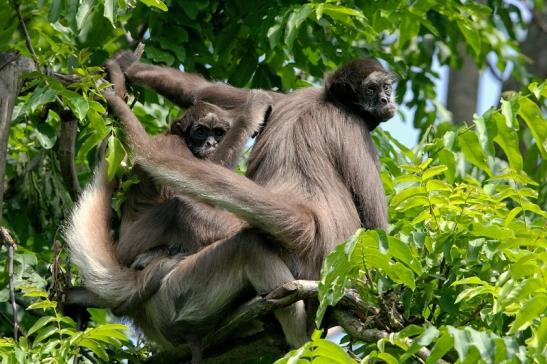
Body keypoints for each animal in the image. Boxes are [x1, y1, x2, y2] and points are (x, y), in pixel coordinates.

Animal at [66, 54, 396, 356]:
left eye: (387, 87)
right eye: (372, 90)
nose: (386, 99)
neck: (327, 99)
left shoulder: (291, 97)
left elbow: (204, 90)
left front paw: (124, 65)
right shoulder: (353, 127)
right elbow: (375, 226)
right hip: (180, 292)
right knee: (240, 241)